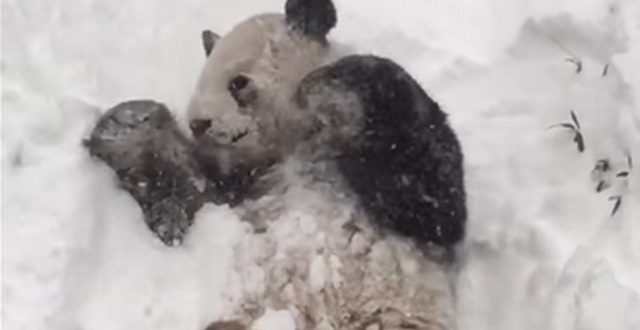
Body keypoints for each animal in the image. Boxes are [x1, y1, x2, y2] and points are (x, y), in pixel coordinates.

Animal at [190, 0, 464, 328]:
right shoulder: (244, 184)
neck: (298, 143)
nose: (196, 124)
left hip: (396, 311)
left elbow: (433, 204)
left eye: (238, 83)